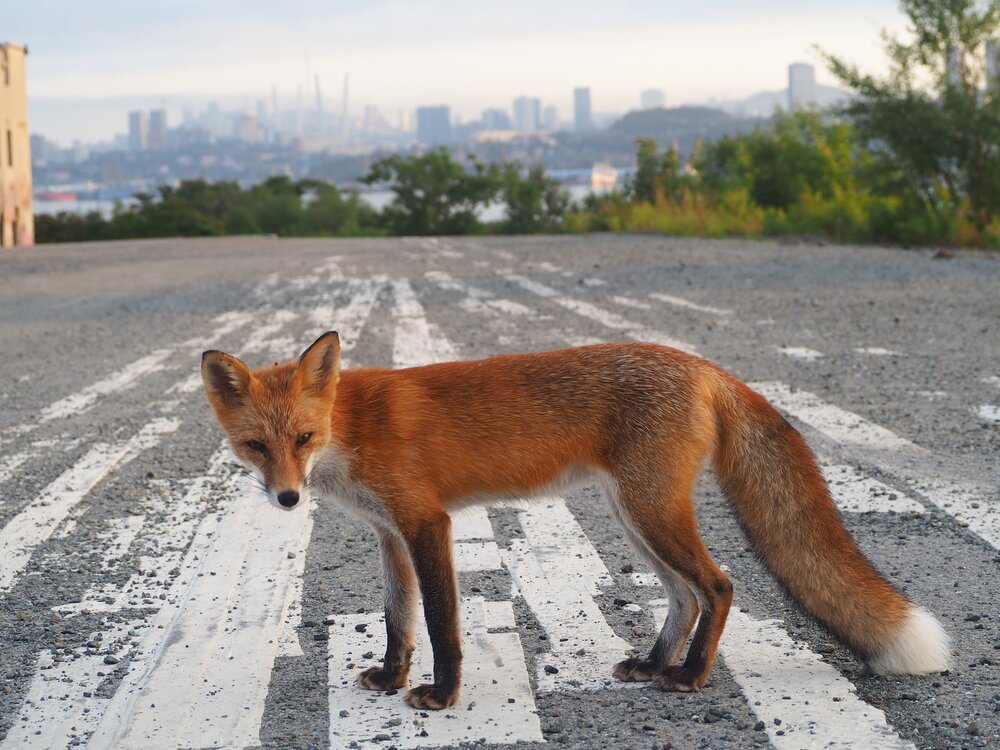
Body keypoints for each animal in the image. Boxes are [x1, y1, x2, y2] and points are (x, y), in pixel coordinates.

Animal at [201, 331, 950, 710]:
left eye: (302, 438)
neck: (350, 428)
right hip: (633, 515)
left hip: (650, 511)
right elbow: (397, 621)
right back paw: (653, 663)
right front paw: (390, 679)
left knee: (719, 586)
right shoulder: (389, 533)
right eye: (256, 446)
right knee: (684, 596)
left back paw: (690, 677)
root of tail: (703, 365)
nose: (287, 500)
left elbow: (441, 623)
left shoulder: (427, 523)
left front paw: (443, 695)